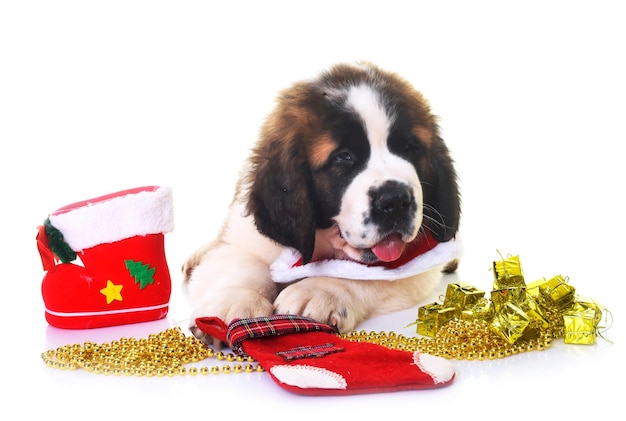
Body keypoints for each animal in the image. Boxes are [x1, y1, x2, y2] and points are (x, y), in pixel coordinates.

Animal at [180, 62, 458, 344]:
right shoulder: (247, 234)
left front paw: (320, 291)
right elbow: (241, 263)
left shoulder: (419, 262)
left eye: (410, 149)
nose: (396, 200)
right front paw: (235, 302)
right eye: (344, 157)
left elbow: (369, 275)